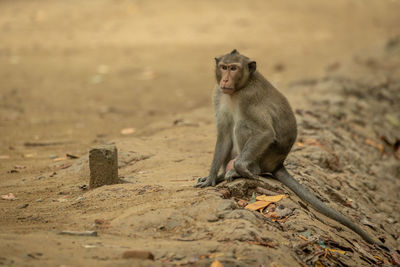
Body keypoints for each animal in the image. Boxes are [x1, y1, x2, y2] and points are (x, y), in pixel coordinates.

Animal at [195, 49, 380, 246]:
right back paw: (222, 175)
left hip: (265, 156)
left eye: (233, 68)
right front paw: (211, 178)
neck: (238, 90)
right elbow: (224, 136)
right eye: (224, 67)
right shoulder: (218, 95)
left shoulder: (248, 98)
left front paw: (240, 169)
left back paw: (244, 170)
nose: (225, 80)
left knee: (242, 126)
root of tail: (278, 163)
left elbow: (265, 132)